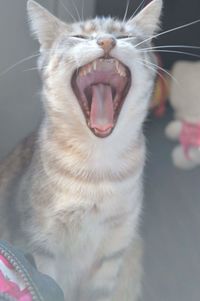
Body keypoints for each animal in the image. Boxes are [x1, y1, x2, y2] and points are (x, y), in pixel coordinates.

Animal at [0, 1, 162, 298]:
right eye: (79, 37)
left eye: (123, 35)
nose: (107, 41)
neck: (97, 172)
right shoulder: (39, 245)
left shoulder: (113, 250)